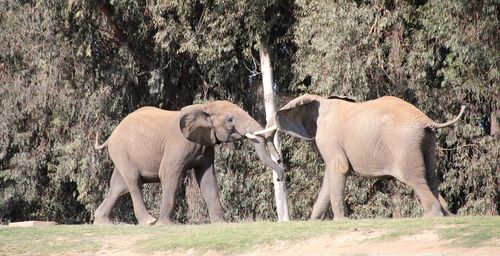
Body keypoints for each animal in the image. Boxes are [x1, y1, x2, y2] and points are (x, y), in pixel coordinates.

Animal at [93, 100, 282, 224]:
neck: (205, 106)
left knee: (118, 186)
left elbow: (208, 179)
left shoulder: (206, 144)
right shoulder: (177, 144)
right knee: (133, 181)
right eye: (230, 120)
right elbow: (169, 174)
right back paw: (149, 221)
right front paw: (166, 225)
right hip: (122, 150)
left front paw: (221, 224)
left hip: (122, 154)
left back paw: (103, 223)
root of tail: (111, 135)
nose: (280, 177)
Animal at [252, 95, 466, 219]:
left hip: (405, 143)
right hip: (427, 141)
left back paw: (432, 217)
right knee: (430, 176)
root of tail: (426, 120)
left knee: (415, 178)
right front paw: (315, 222)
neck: (319, 99)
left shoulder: (328, 136)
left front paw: (341, 221)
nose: (280, 162)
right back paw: (448, 216)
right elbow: (330, 176)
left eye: (283, 113)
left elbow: (339, 168)